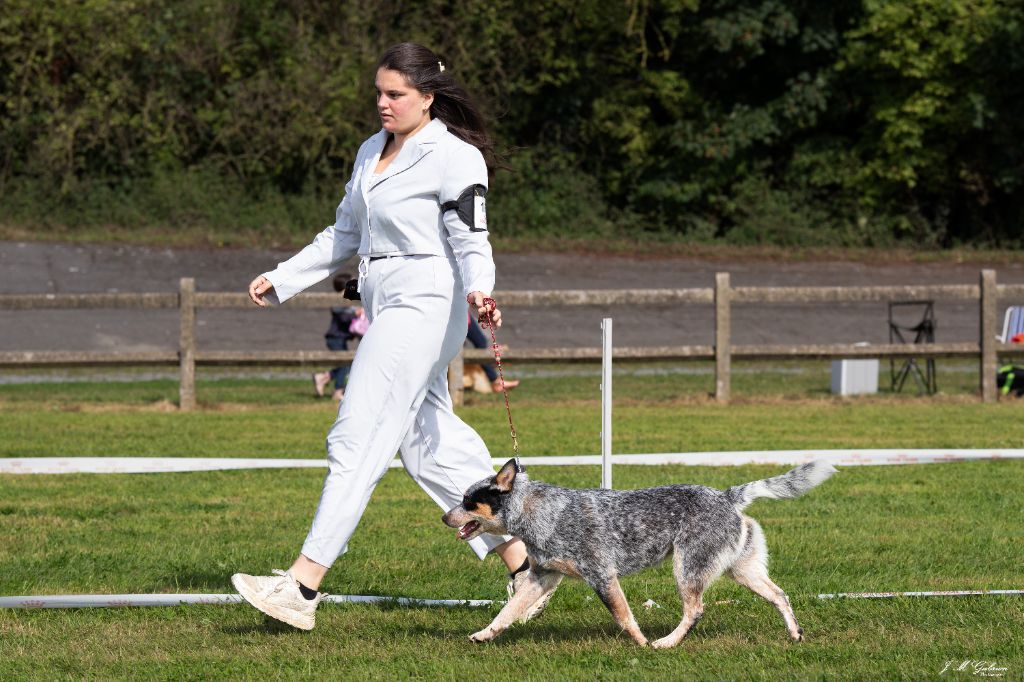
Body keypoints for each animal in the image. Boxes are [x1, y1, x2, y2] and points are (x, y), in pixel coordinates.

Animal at [438, 456, 831, 643]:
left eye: (469, 502)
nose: (443, 516)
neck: (540, 512)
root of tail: (727, 496)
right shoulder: (541, 577)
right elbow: (506, 613)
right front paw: (485, 634)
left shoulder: (601, 575)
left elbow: (624, 617)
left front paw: (641, 643)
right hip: (742, 570)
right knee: (779, 594)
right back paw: (795, 634)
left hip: (687, 568)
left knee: (695, 610)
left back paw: (665, 643)